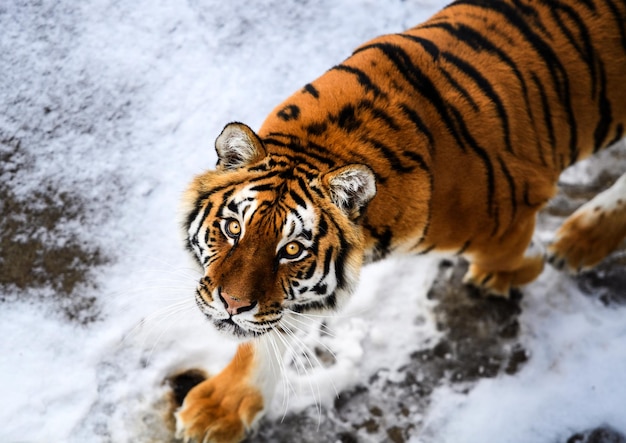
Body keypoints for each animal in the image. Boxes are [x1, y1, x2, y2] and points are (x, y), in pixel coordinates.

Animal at [173, 0, 624, 442]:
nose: (231, 305)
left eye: (293, 250)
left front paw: (510, 273)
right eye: (234, 228)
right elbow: (266, 335)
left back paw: (580, 240)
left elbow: (511, 259)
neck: (322, 144)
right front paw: (221, 409)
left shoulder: (514, 216)